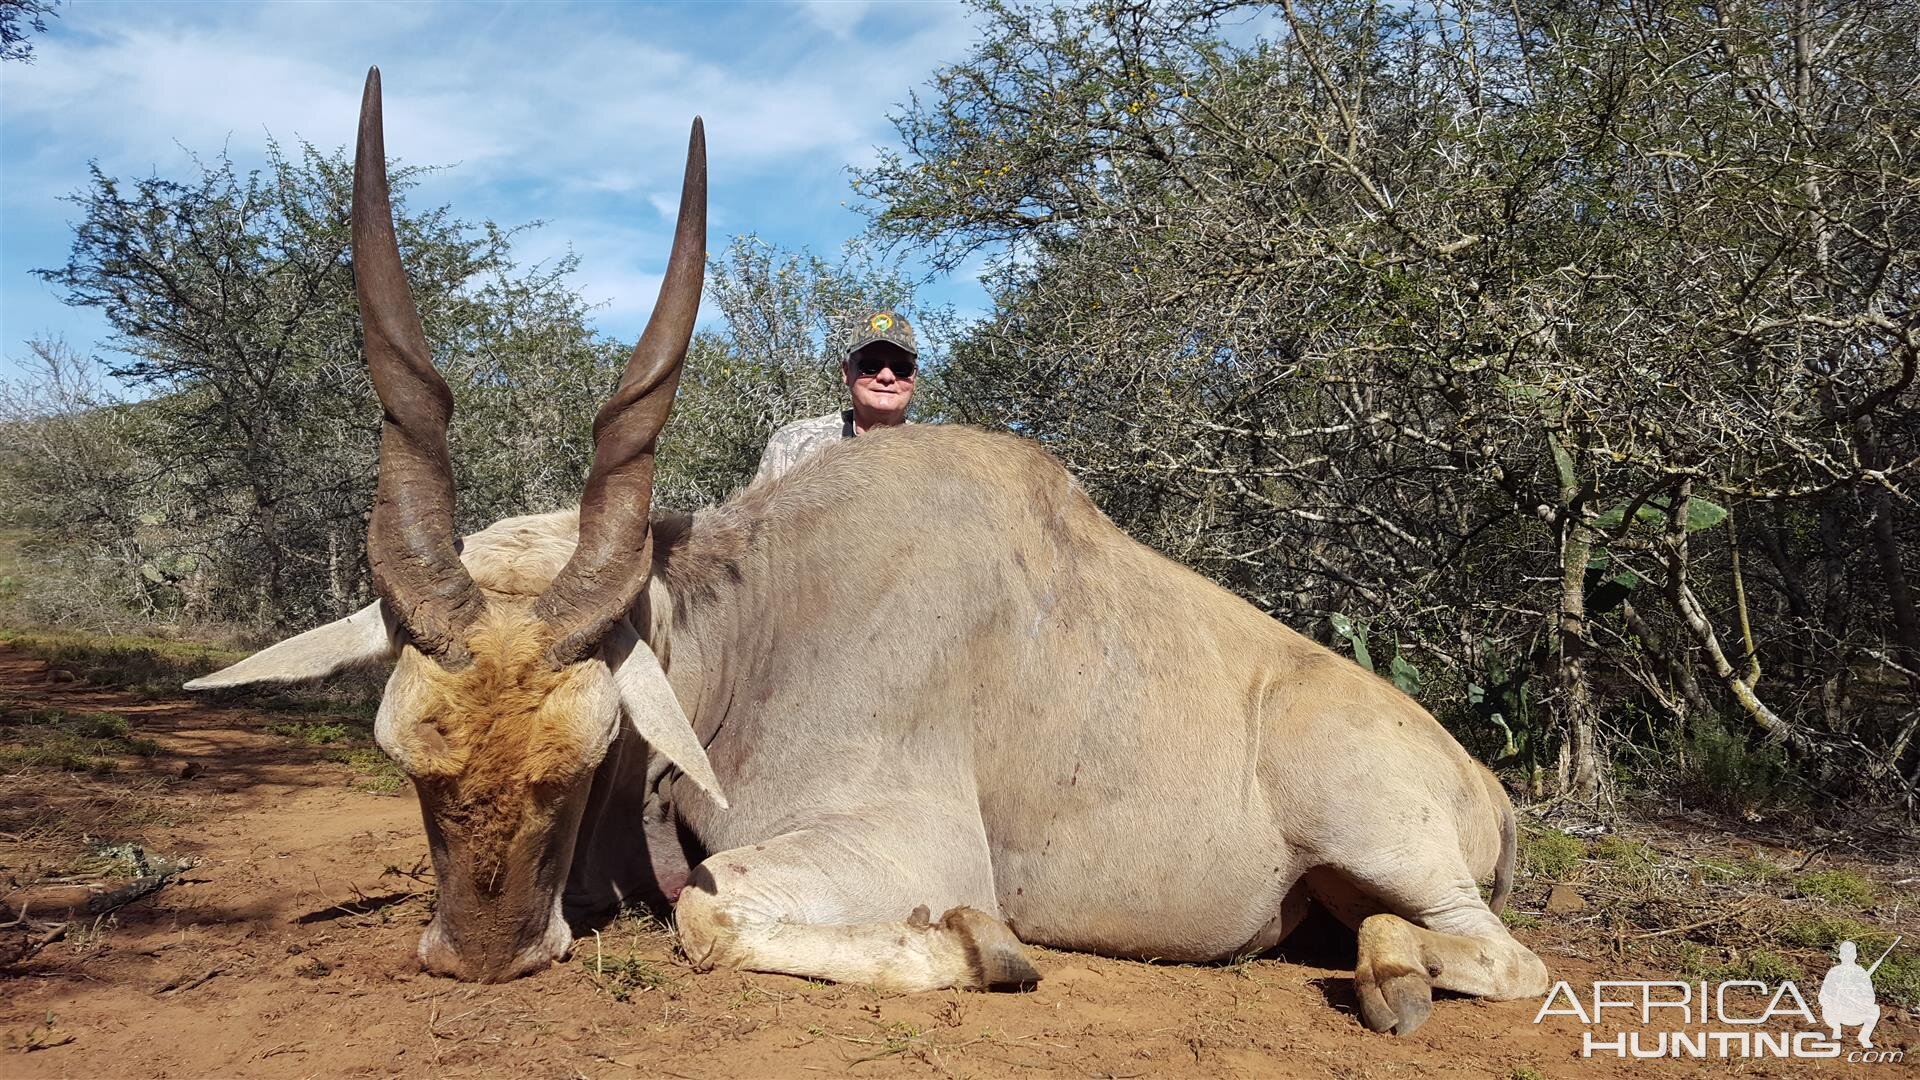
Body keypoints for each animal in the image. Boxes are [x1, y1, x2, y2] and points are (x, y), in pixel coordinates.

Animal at [191, 71, 1543, 1030]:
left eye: (580, 765)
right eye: (405, 758)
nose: (484, 957)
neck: (754, 630)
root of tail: (1483, 786)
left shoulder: (907, 844)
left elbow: (713, 918)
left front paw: (985, 949)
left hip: (1381, 833)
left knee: (1505, 960)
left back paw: (1393, 978)